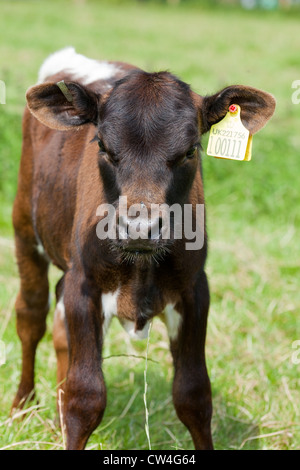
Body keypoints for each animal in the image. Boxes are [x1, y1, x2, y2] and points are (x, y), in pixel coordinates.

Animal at [11, 48, 276, 452]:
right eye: (103, 147)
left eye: (190, 151)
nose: (139, 228)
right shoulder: (84, 285)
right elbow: (85, 396)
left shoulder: (194, 289)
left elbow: (194, 395)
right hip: (25, 226)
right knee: (31, 317)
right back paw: (21, 408)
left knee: (57, 330)